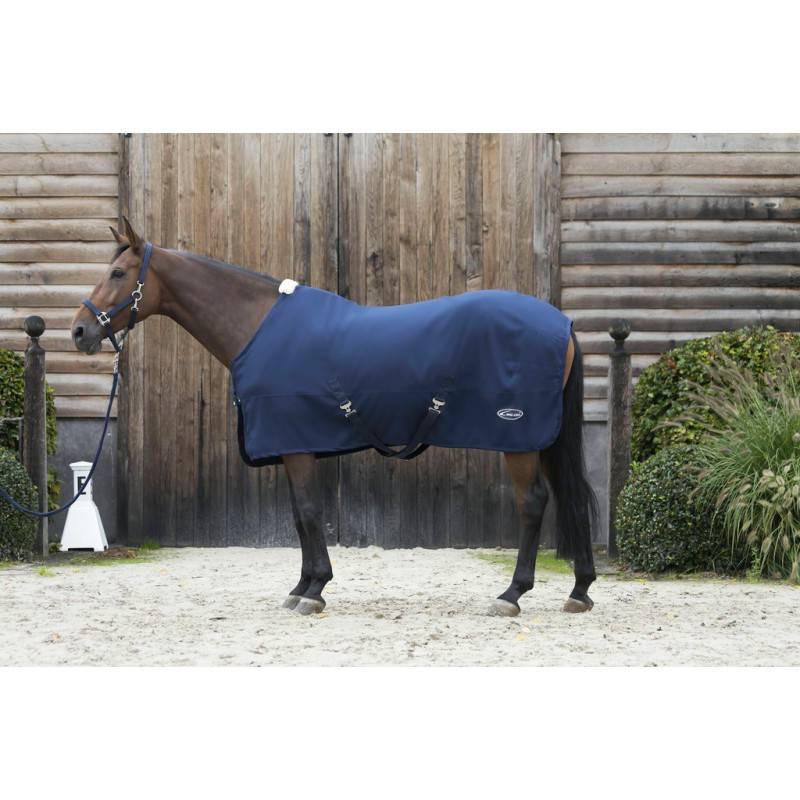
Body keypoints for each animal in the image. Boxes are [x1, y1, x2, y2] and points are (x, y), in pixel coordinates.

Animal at [71, 217, 597, 617]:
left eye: (117, 273)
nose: (78, 331)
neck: (257, 328)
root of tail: (562, 323)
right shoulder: (292, 447)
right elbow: (299, 516)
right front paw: (301, 587)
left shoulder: (297, 446)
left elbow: (308, 512)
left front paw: (315, 590)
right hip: (542, 439)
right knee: (567, 498)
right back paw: (580, 589)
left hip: (520, 439)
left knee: (533, 502)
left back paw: (511, 595)